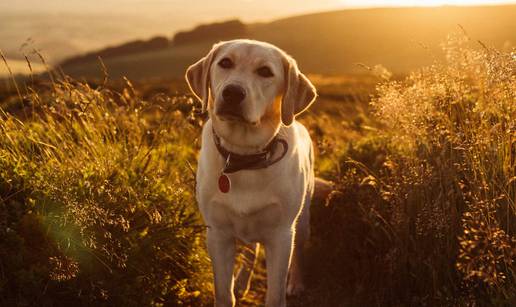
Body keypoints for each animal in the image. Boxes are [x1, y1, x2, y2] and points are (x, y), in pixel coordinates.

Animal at [185, 39, 314, 306]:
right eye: (225, 62)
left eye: (265, 71)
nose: (233, 93)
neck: (243, 157)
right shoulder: (218, 234)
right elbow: (224, 293)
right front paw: (234, 287)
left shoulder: (281, 235)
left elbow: (275, 295)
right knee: (250, 251)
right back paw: (243, 281)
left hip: (303, 219)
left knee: (299, 252)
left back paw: (296, 283)